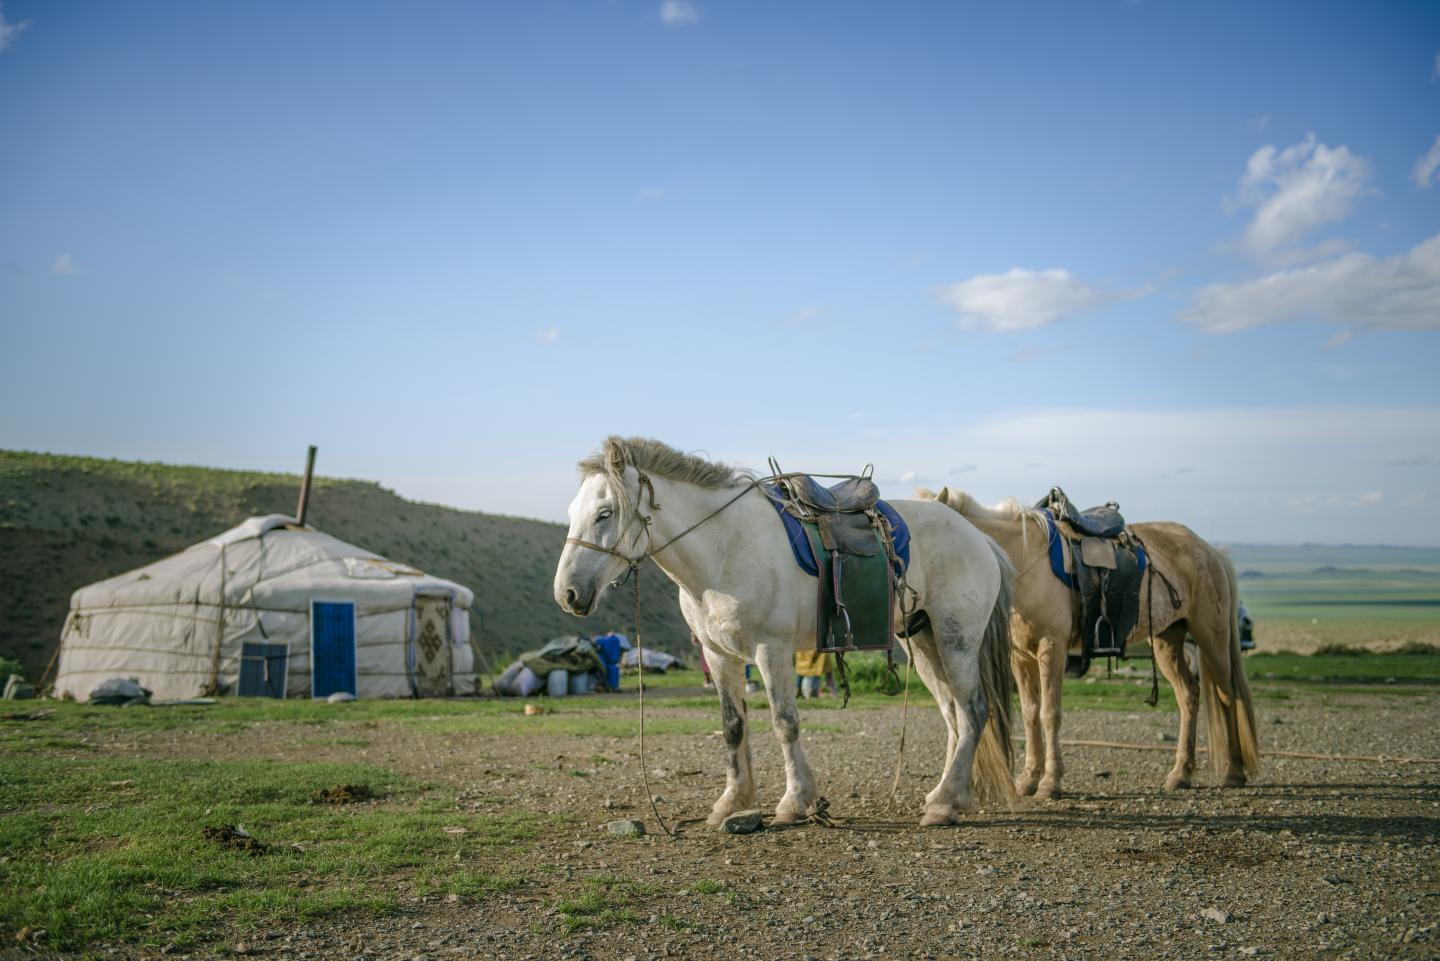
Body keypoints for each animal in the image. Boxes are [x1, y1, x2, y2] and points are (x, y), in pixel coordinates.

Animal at [552, 436, 1017, 827]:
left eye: (605, 514)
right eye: (572, 515)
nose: (567, 593)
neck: (725, 546)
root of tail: (980, 538)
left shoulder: (770, 650)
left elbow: (784, 722)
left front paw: (795, 801)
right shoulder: (719, 655)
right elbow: (732, 725)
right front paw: (732, 802)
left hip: (956, 639)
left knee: (973, 711)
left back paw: (944, 804)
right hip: (923, 643)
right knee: (953, 715)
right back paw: (948, 795)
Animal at [916, 487, 1260, 799]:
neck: (1022, 561)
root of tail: (1210, 551)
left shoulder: (1051, 648)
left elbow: (1049, 713)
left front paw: (1050, 783)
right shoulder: (1021, 657)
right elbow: (1030, 713)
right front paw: (1028, 779)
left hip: (1211, 637)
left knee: (1227, 695)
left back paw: (1234, 771)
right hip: (1168, 640)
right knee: (1189, 695)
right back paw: (1180, 774)